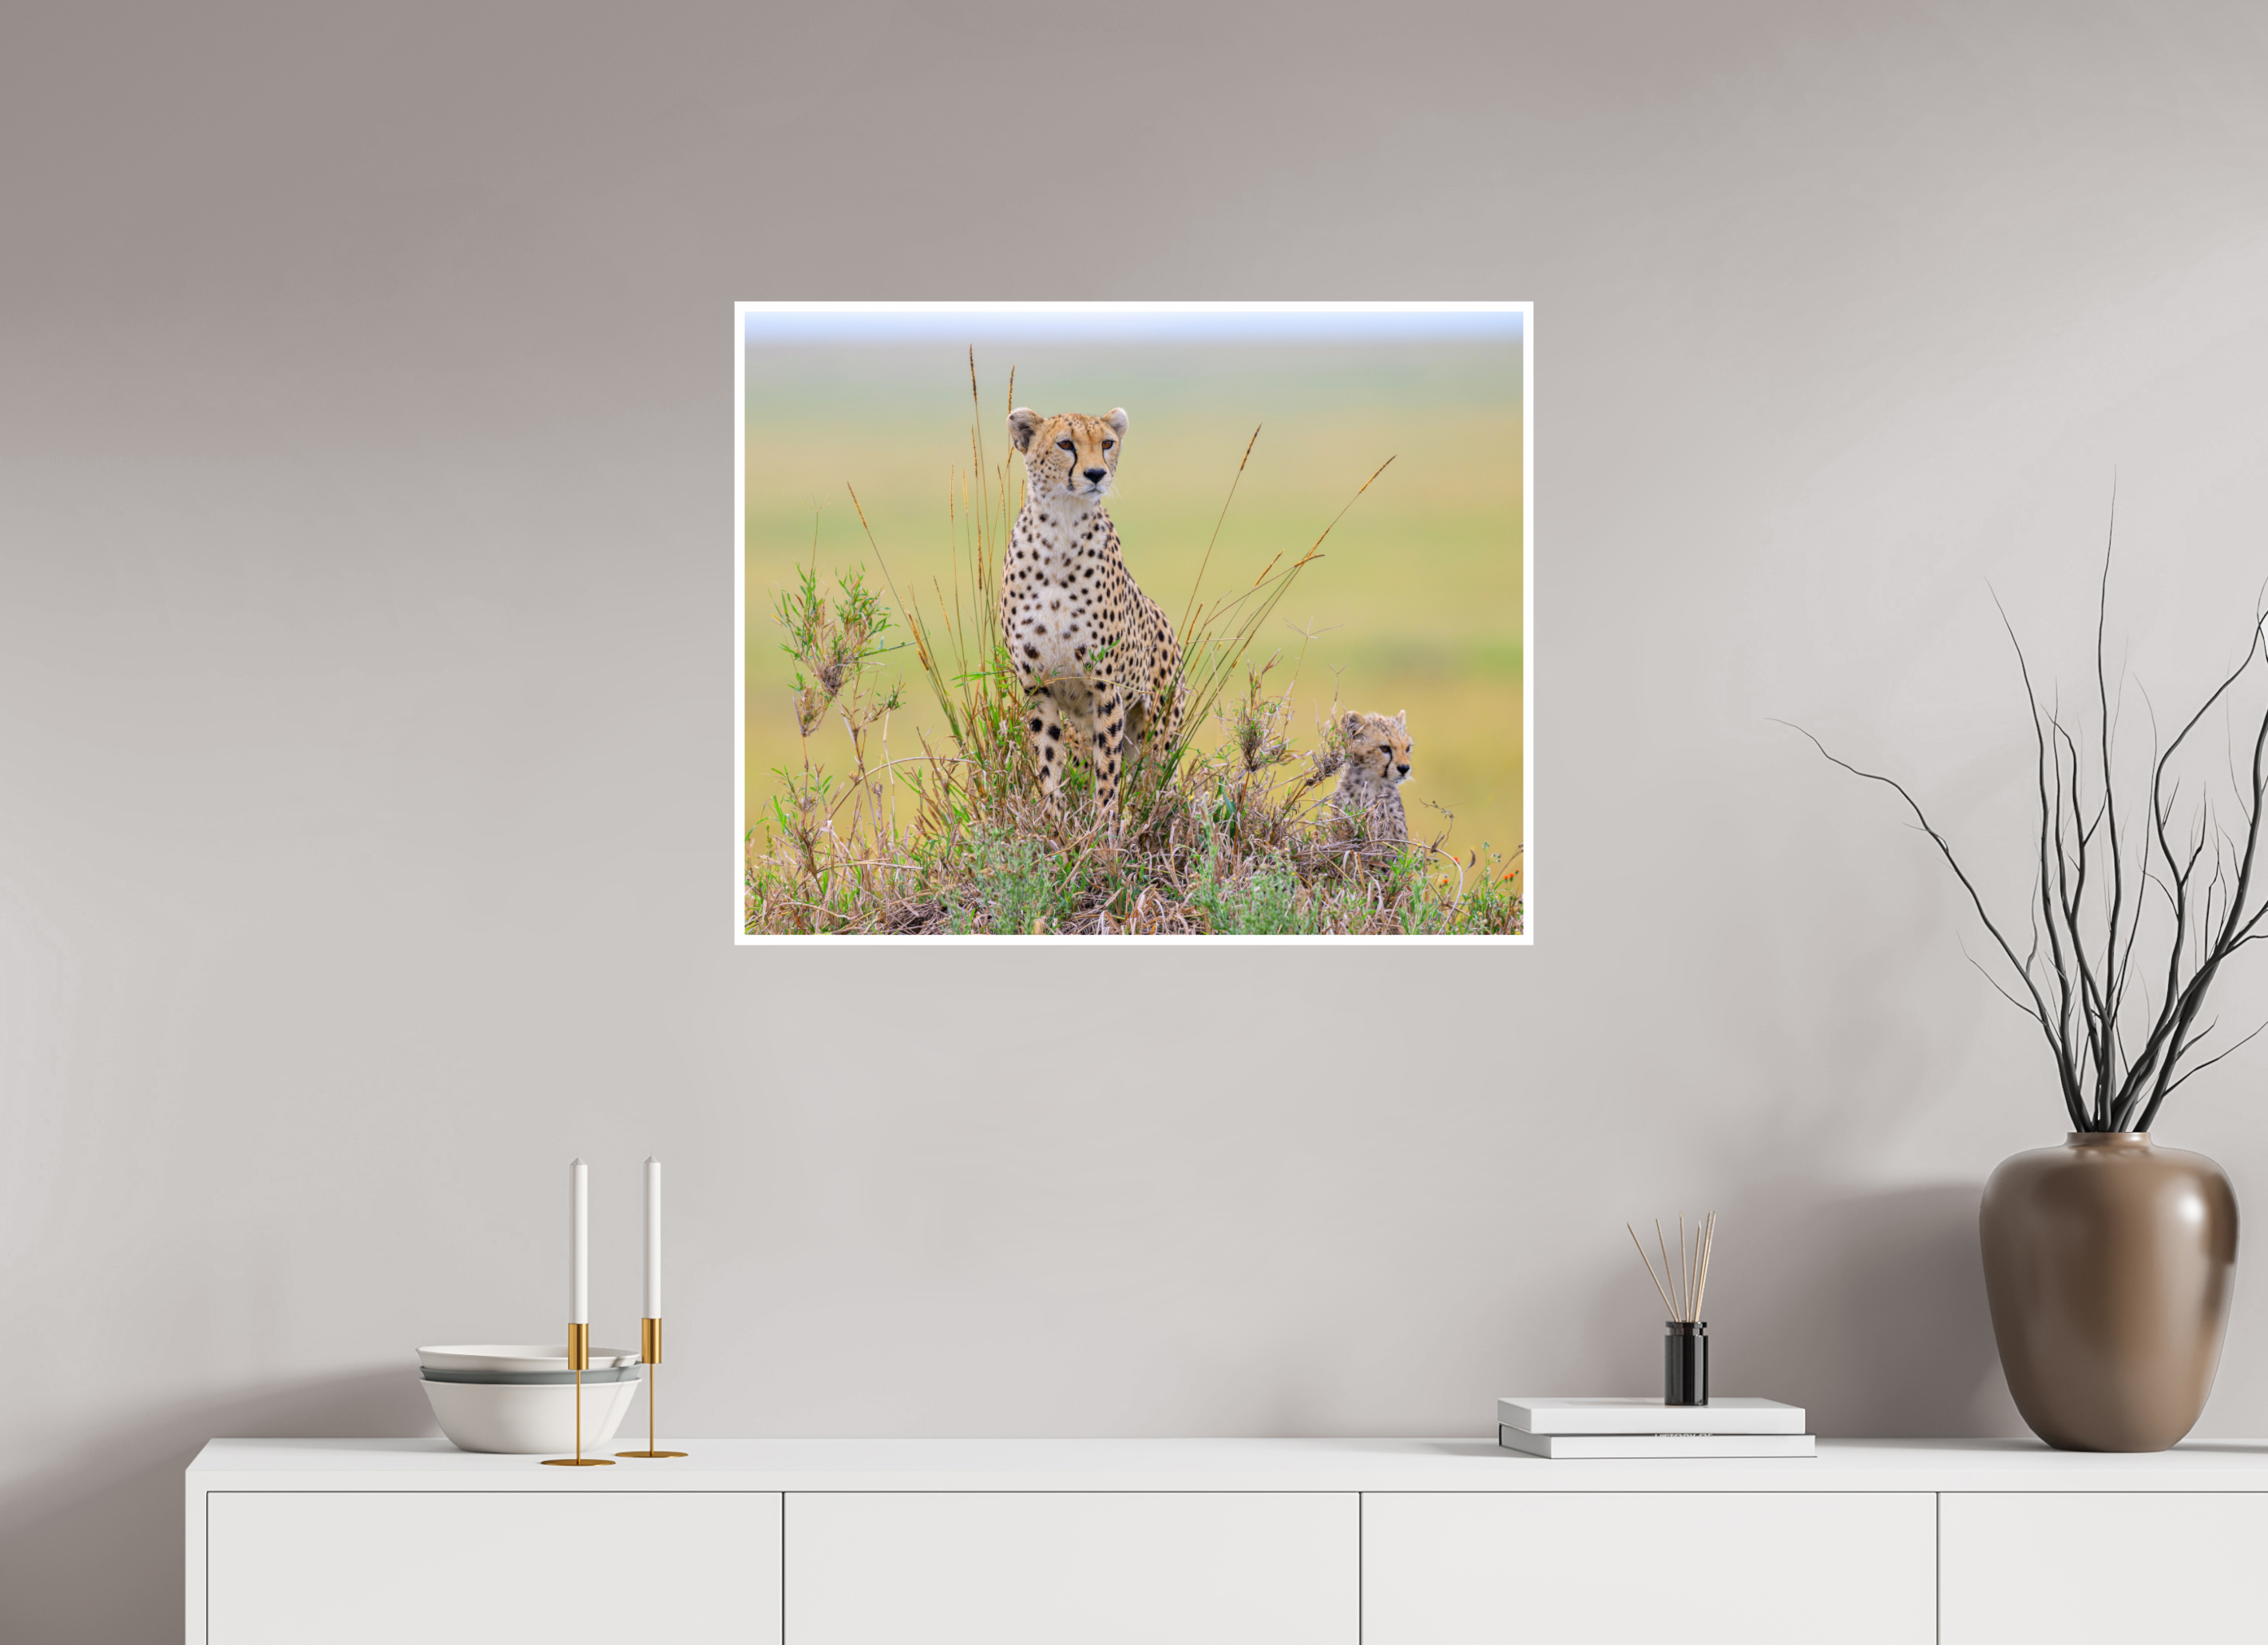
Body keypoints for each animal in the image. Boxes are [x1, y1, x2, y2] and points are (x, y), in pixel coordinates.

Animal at [1002, 405, 1185, 826]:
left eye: (1107, 444)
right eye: (1065, 444)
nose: (1097, 474)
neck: (1060, 529)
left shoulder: (1106, 689)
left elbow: (1109, 769)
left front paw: (1103, 828)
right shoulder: (1039, 689)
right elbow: (1048, 764)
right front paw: (1055, 826)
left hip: (1160, 729)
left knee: (1154, 780)